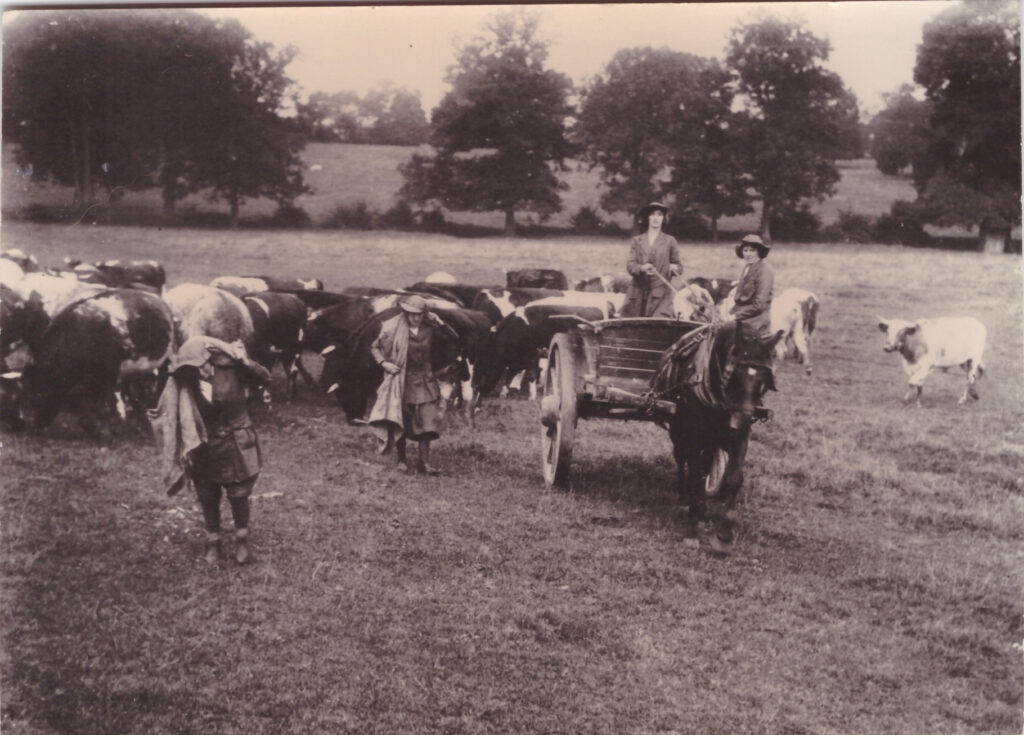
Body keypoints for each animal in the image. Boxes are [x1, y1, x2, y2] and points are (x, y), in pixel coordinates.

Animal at [647, 321, 782, 552]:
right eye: (733, 376)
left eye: (764, 381)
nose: (742, 421)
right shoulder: (693, 433)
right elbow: (693, 475)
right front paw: (693, 526)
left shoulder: (740, 438)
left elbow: (733, 478)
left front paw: (724, 534)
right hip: (678, 430)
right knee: (682, 459)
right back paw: (685, 498)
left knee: (705, 464)